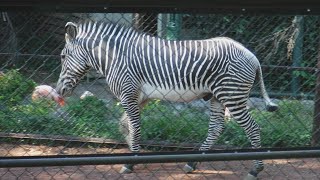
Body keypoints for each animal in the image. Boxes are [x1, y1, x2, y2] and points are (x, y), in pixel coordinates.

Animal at [56, 20, 278, 179]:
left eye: (63, 56)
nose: (59, 91)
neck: (115, 57)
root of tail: (251, 55)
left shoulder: (128, 94)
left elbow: (135, 127)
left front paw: (132, 161)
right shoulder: (140, 97)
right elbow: (125, 126)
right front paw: (135, 154)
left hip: (232, 96)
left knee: (252, 128)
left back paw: (255, 170)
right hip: (217, 96)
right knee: (216, 128)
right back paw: (193, 163)